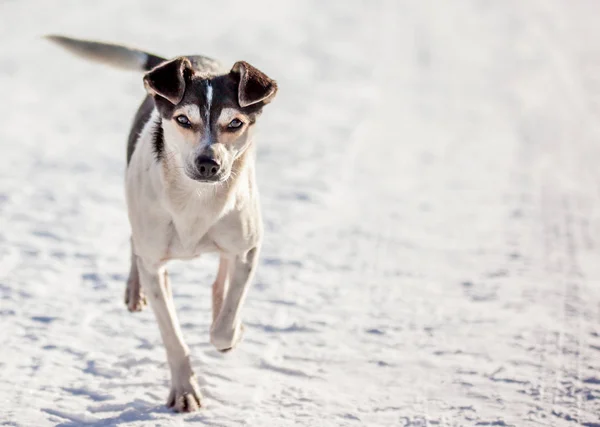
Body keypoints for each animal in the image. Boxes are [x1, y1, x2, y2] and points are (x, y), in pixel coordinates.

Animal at [47, 36, 278, 412]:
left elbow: (225, 321)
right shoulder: (156, 266)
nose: (208, 163)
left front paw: (231, 330)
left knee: (222, 276)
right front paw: (185, 390)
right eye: (183, 119)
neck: (196, 202)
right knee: (135, 245)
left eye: (235, 123)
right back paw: (134, 289)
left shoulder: (248, 248)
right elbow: (171, 334)